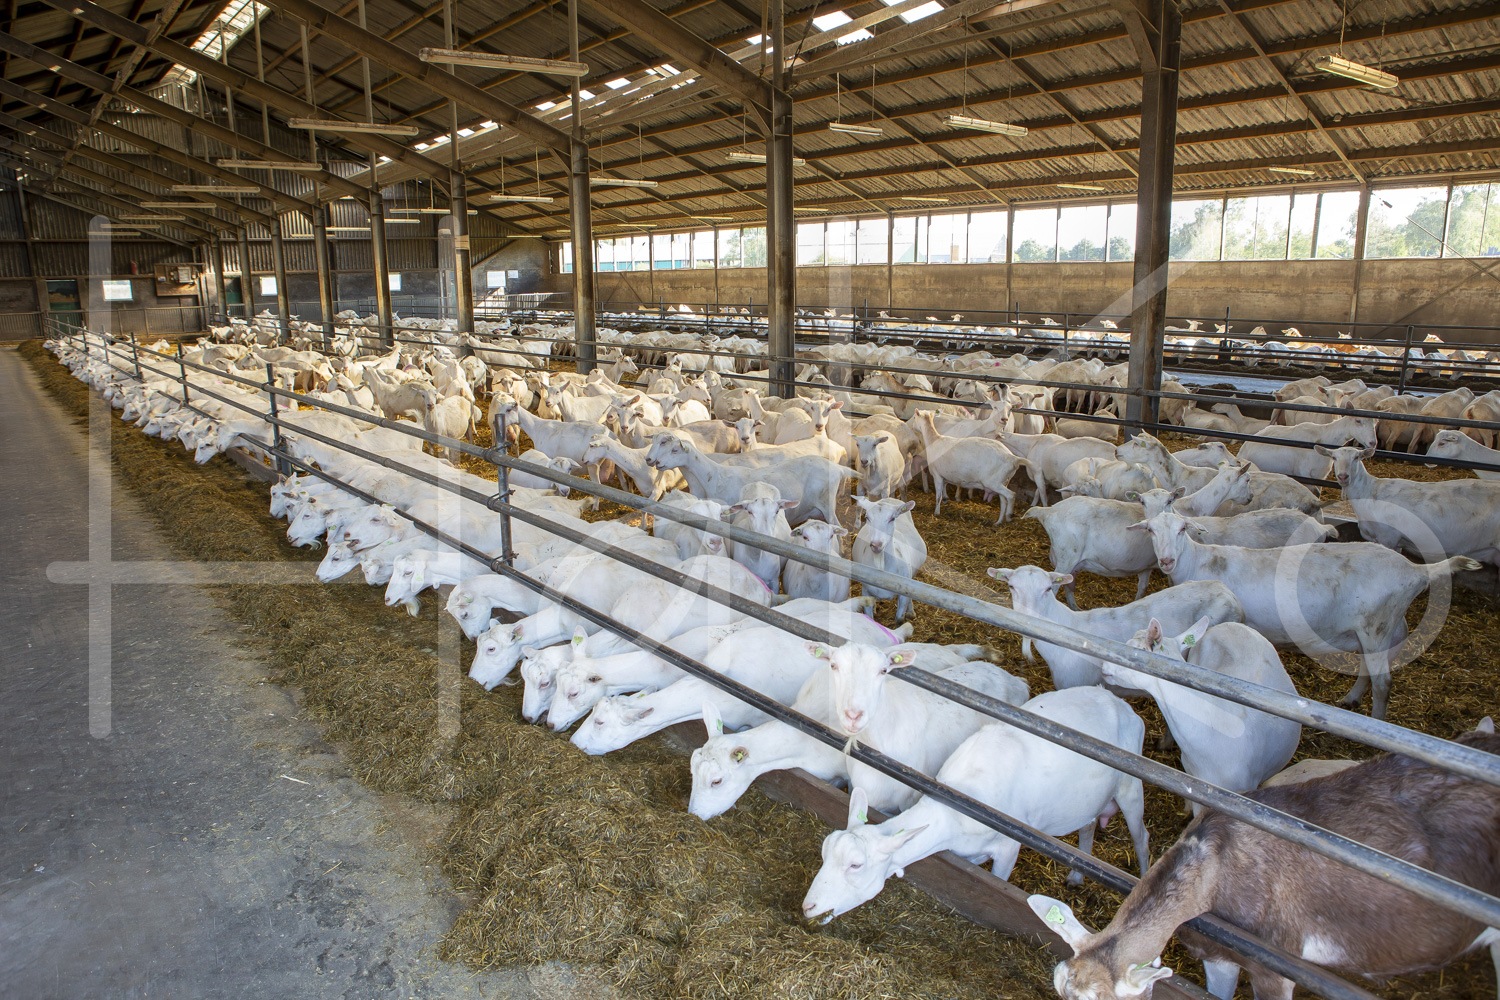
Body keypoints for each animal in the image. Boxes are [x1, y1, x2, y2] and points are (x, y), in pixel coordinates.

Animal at [800, 686, 1150, 923]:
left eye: (855, 865)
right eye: (825, 852)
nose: (808, 906)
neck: (957, 809)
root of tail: (1117, 701)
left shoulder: (1008, 849)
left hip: (1131, 787)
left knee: (1142, 838)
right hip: (1087, 796)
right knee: (1088, 824)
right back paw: (1077, 876)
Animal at [1134, 510, 1482, 718]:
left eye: (1182, 529)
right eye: (1150, 530)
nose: (1166, 561)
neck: (1198, 560)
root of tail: (1417, 571)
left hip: (1376, 626)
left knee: (1383, 682)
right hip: (1383, 628)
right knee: (1370, 669)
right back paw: (1351, 699)